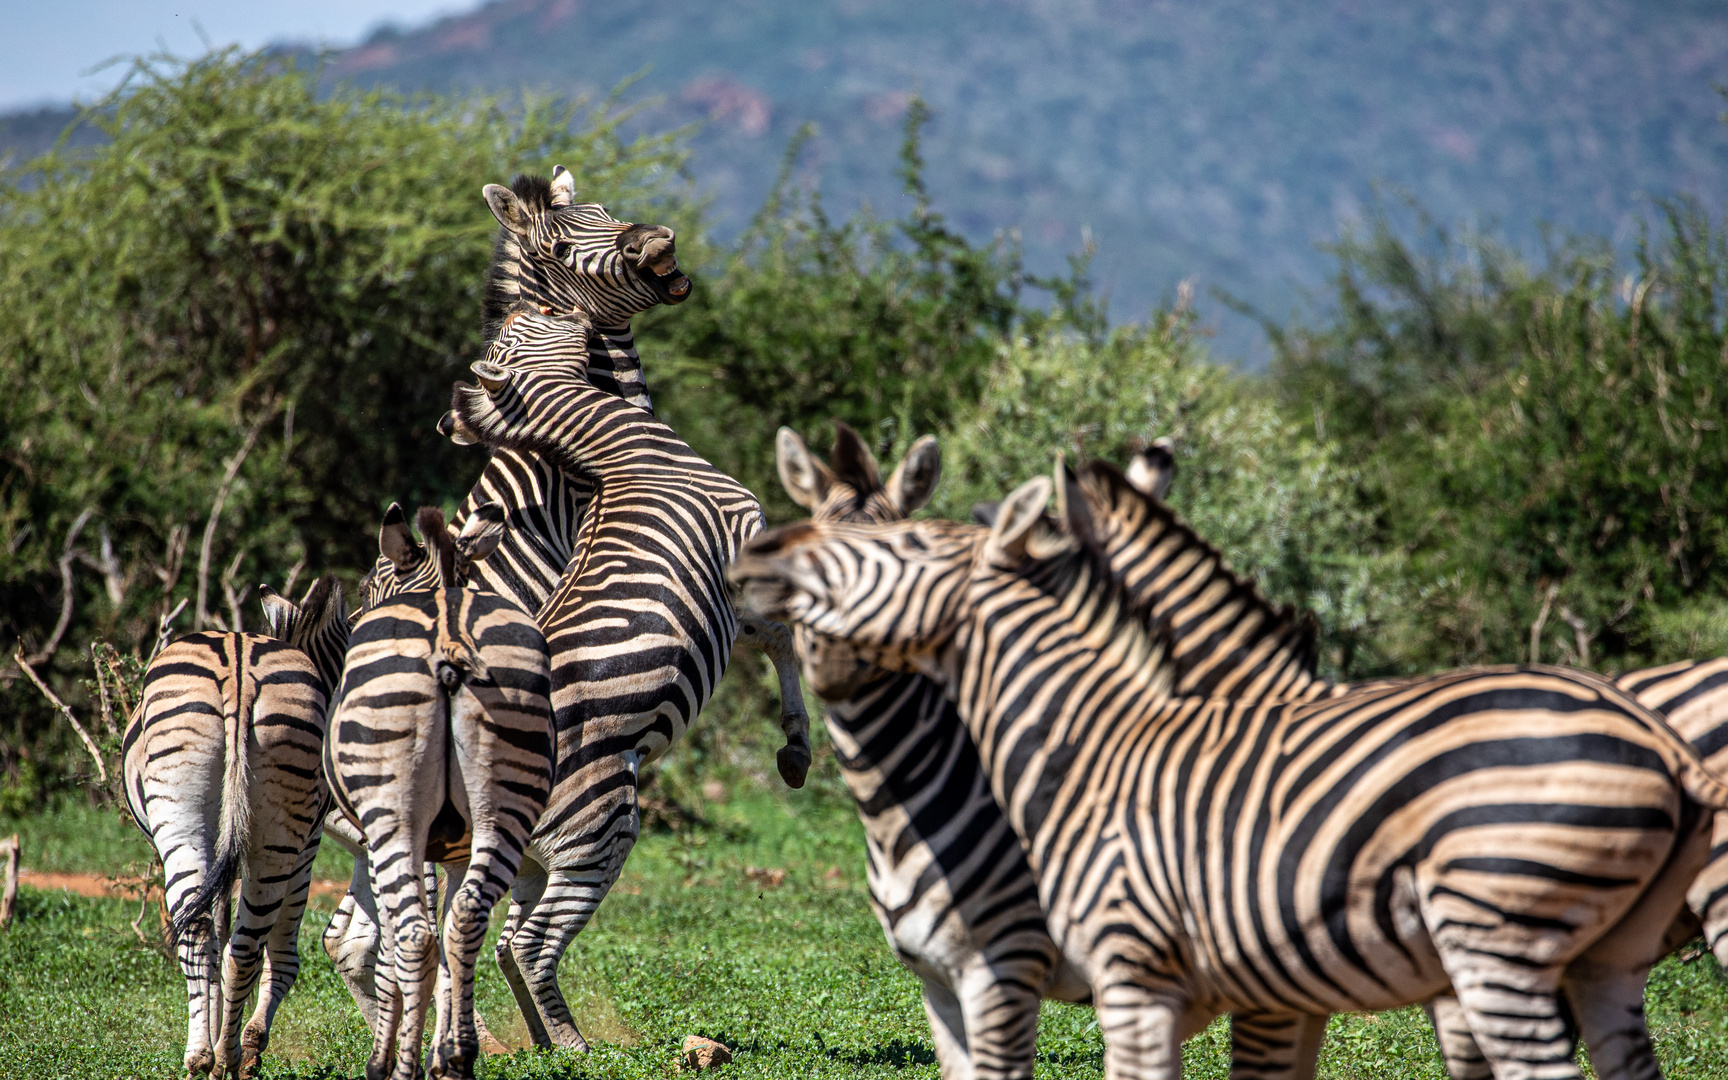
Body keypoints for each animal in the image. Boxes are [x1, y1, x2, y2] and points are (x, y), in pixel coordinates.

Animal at [122, 577, 347, 1071]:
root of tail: (239, 670)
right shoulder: (303, 844)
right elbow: (267, 948)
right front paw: (242, 1034)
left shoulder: (297, 844)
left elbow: (243, 945)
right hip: (266, 835)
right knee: (233, 941)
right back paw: (223, 1056)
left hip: (194, 821)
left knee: (206, 932)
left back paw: (209, 1058)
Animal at [317, 504, 546, 1078]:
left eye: (368, 585)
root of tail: (449, 636)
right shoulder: (458, 851)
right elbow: (448, 941)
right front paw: (444, 1049)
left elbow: (392, 954)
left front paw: (404, 1052)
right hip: (504, 810)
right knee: (466, 918)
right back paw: (459, 1057)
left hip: (393, 818)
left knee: (414, 935)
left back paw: (394, 1068)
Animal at [445, 307, 815, 1050]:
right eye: (529, 326)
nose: (576, 312)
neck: (622, 454)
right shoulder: (745, 552)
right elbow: (783, 634)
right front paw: (796, 743)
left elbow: (774, 638)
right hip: (600, 830)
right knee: (532, 946)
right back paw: (575, 1049)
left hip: (530, 858)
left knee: (502, 943)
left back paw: (543, 1044)